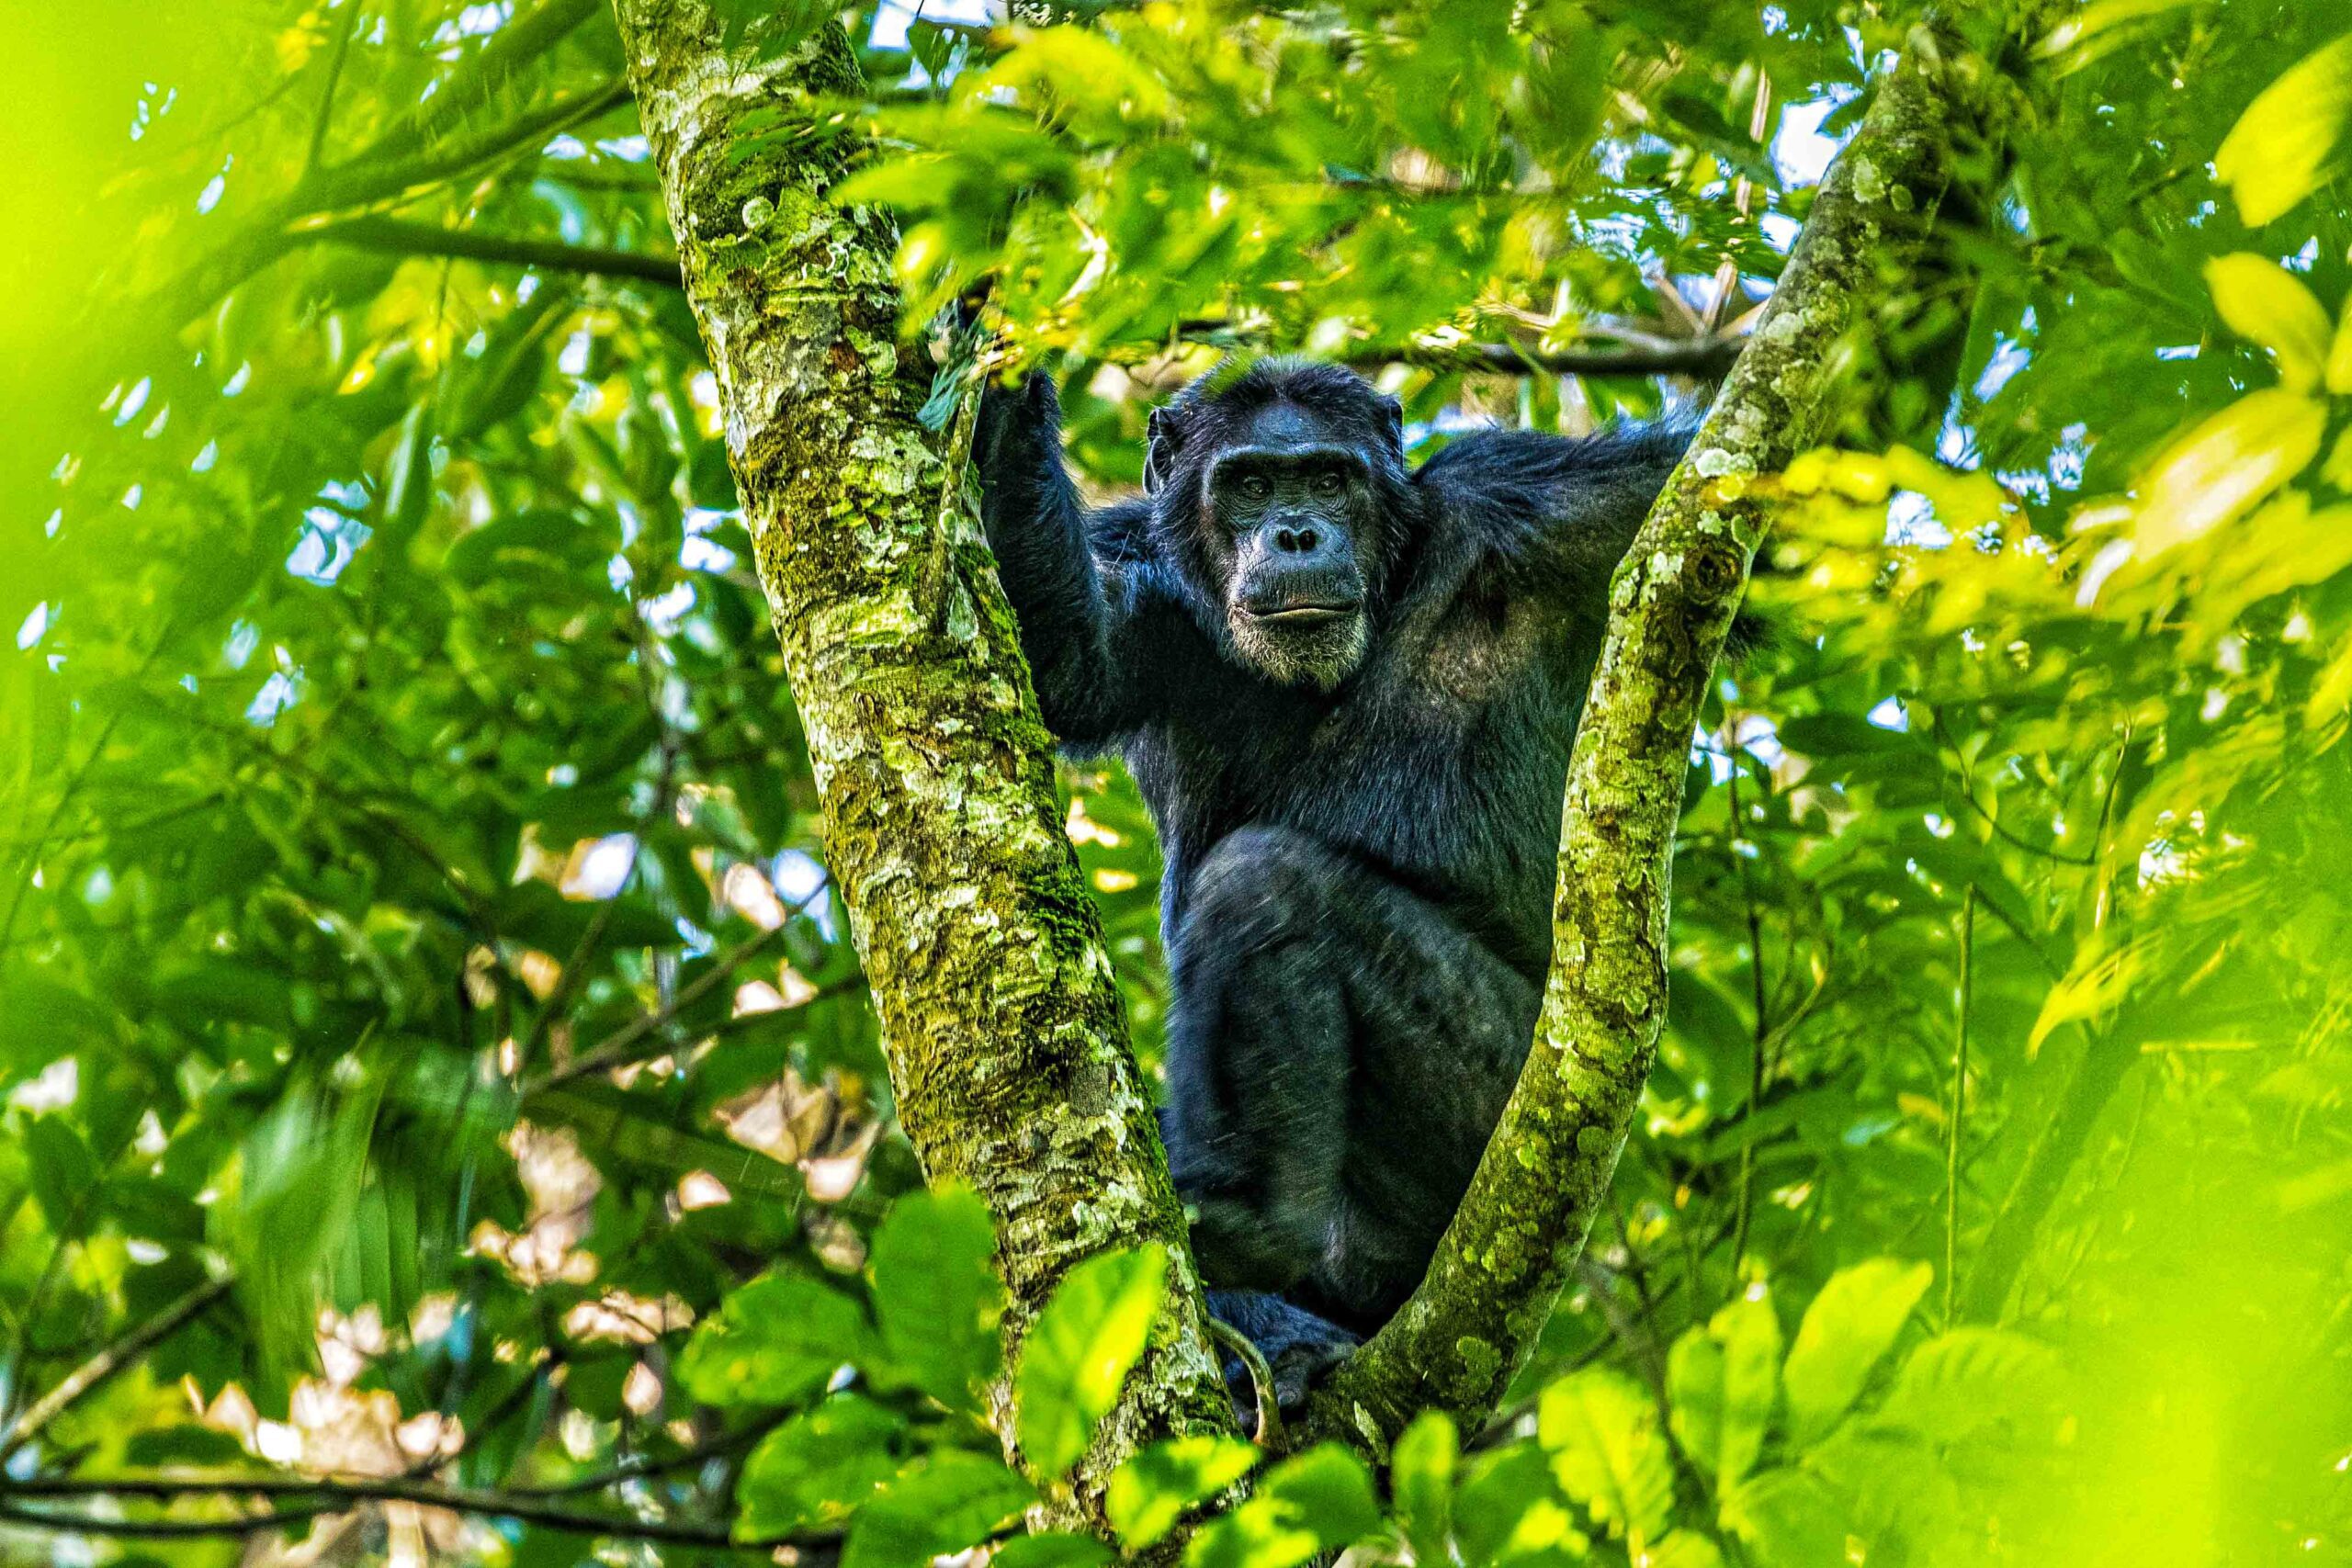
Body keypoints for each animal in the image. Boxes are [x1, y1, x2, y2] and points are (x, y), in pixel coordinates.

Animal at [973, 359, 1693, 1410]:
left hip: (1508, 1097)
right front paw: (995, 379)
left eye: (1324, 479)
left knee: (1267, 884)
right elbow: (1067, 657)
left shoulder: (1542, 502)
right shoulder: (1131, 557)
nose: (1297, 533)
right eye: (1247, 487)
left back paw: (1257, 1234)